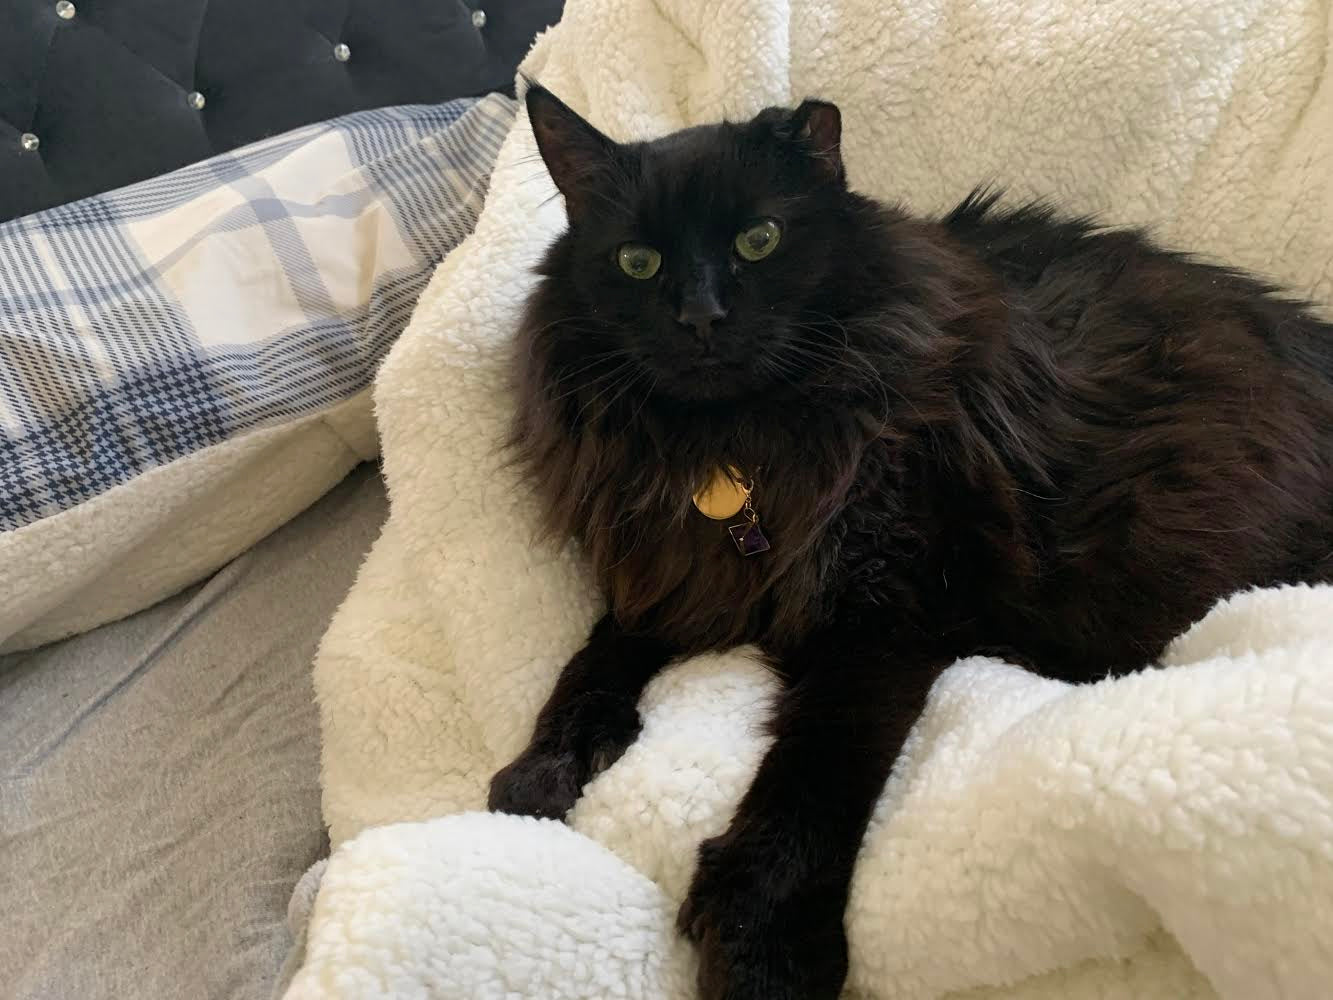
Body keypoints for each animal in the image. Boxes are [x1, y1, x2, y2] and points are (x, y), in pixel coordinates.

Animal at [487, 86, 1333, 1000]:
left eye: (759, 240)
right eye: (637, 262)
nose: (701, 318)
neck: (735, 449)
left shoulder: (884, 612)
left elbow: (810, 779)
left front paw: (764, 948)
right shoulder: (670, 579)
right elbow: (590, 662)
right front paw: (542, 767)